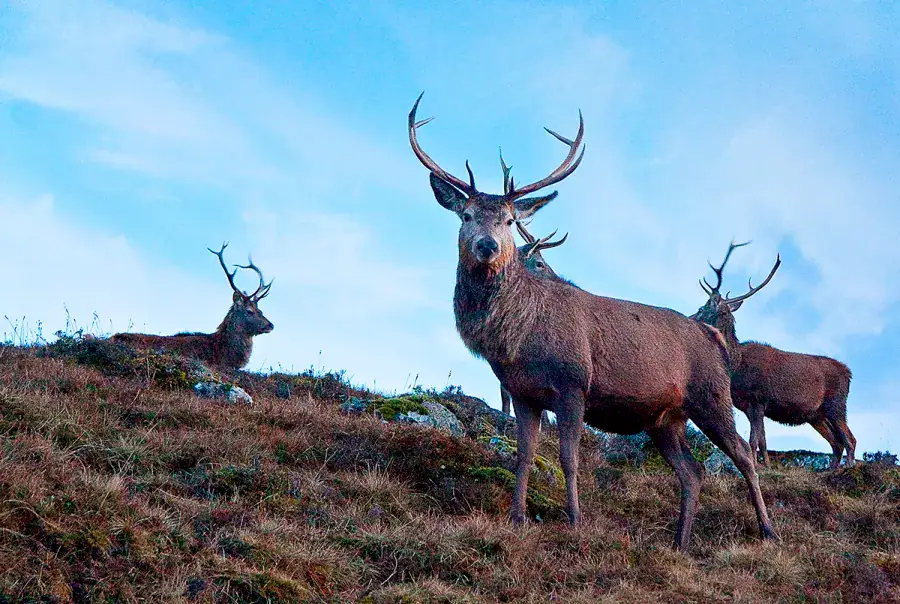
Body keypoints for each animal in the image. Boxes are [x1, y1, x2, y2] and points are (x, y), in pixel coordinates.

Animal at [409, 93, 777, 550]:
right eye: (466, 216)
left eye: (510, 220)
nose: (488, 246)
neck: (517, 340)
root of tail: (713, 336)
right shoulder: (524, 394)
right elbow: (524, 456)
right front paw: (517, 518)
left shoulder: (573, 383)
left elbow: (568, 458)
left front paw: (575, 520)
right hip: (665, 419)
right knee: (694, 472)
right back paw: (680, 542)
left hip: (711, 395)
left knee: (744, 454)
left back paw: (768, 530)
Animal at [691, 241, 856, 469]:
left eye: (702, 308)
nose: (689, 316)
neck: (736, 367)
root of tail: (850, 373)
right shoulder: (749, 406)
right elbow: (762, 439)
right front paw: (767, 465)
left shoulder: (758, 399)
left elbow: (753, 439)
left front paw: (756, 465)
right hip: (817, 415)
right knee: (836, 443)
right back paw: (831, 470)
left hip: (837, 404)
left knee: (850, 439)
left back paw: (849, 466)